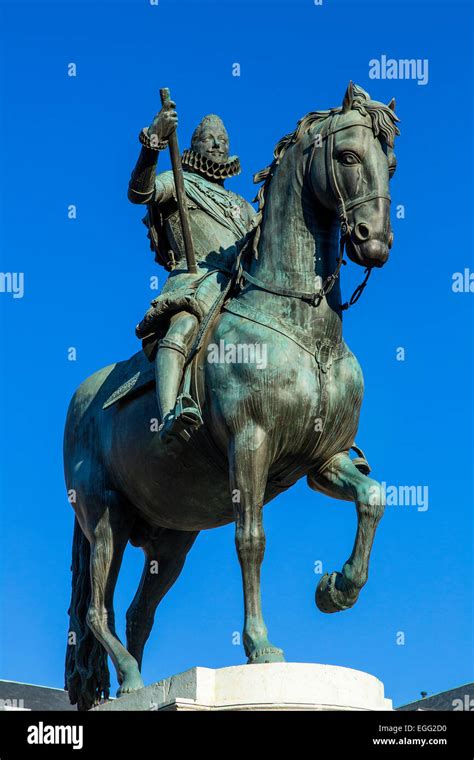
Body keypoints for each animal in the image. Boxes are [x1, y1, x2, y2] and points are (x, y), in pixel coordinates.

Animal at [64, 83, 400, 712]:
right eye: (348, 157)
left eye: (388, 164)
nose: (377, 241)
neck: (299, 321)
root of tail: (83, 398)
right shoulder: (252, 443)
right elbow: (252, 541)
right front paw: (261, 647)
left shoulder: (323, 460)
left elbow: (373, 498)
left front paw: (336, 588)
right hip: (104, 517)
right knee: (97, 610)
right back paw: (133, 679)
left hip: (171, 538)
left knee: (137, 612)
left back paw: (133, 685)